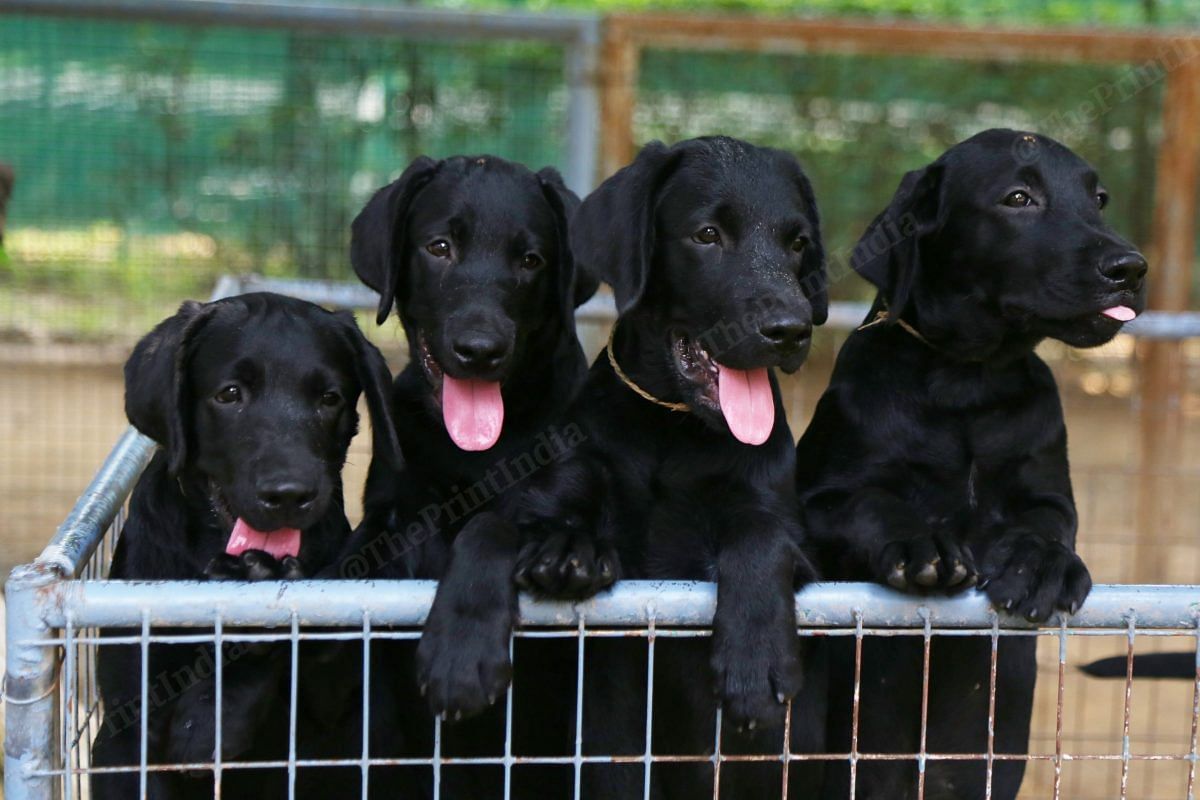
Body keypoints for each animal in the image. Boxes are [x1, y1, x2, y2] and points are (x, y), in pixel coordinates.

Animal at [91, 293, 398, 800]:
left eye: (329, 399)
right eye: (229, 394)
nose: (289, 494)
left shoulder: (332, 723)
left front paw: (210, 720)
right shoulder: (124, 731)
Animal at [343, 154, 595, 796]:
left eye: (531, 260)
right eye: (440, 247)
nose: (479, 349)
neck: (477, 450)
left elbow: (491, 526)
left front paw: (461, 656)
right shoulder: (388, 512)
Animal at [424, 134, 835, 796]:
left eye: (797, 243)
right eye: (707, 235)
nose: (791, 330)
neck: (671, 428)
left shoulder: (801, 546)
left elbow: (760, 534)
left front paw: (756, 660)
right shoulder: (556, 489)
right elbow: (492, 526)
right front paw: (461, 649)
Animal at [792, 128, 1147, 796]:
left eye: (1100, 199)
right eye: (1018, 198)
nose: (1130, 269)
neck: (969, 382)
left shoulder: (1048, 493)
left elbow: (1047, 526)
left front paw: (1039, 566)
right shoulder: (819, 502)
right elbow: (870, 504)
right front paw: (920, 545)